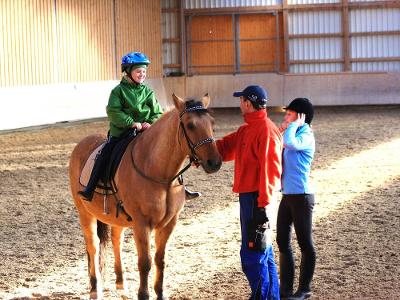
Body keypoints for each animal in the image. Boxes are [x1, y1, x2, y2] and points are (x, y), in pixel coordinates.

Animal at [70, 93, 223, 298]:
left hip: (117, 217)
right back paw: (95, 288)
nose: (214, 163)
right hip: (85, 213)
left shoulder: (169, 223)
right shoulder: (142, 224)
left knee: (116, 240)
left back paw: (121, 283)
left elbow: (160, 259)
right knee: (93, 246)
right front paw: (143, 294)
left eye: (212, 123)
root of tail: (82, 143)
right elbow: (145, 262)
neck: (159, 173)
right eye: (190, 125)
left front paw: (160, 293)